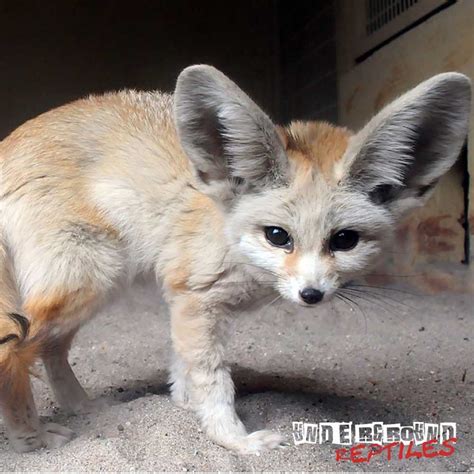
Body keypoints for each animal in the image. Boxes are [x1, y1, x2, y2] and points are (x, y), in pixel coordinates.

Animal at [0, 65, 470, 454]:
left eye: (345, 240)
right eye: (278, 236)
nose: (311, 294)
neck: (229, 230)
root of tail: (9, 147)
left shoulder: (186, 301)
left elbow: (184, 367)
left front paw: (183, 406)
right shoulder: (195, 299)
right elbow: (213, 379)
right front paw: (233, 440)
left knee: (50, 348)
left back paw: (86, 409)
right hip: (90, 277)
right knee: (16, 353)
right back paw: (33, 439)